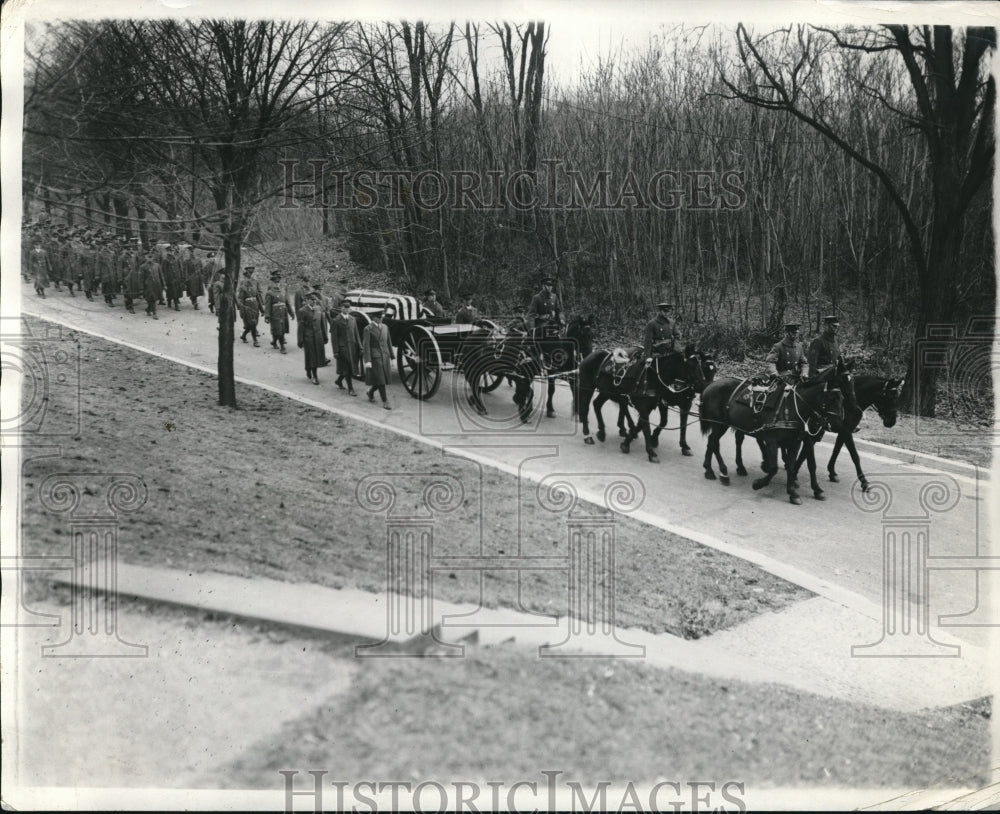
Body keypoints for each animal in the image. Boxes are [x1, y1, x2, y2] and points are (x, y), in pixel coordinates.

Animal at [576, 348, 708, 466]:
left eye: (701, 365)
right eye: (691, 365)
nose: (702, 385)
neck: (653, 377)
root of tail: (590, 355)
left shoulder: (653, 406)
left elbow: (642, 425)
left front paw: (627, 443)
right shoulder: (648, 407)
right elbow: (646, 428)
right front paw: (651, 452)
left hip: (607, 392)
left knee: (597, 404)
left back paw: (602, 432)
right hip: (587, 387)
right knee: (585, 408)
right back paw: (587, 435)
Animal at [696, 362, 852, 504]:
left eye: (842, 398)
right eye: (832, 398)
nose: (839, 425)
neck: (793, 407)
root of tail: (711, 385)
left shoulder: (797, 442)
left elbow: (794, 466)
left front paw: (793, 491)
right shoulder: (773, 441)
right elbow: (774, 467)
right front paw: (758, 484)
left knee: (714, 441)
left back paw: (710, 469)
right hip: (719, 424)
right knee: (715, 442)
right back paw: (723, 473)